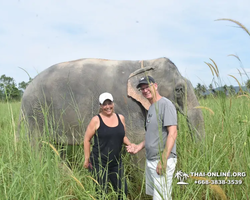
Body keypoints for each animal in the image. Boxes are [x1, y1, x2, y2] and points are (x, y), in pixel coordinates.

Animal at [20, 57, 205, 148]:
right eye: (179, 90)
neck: (143, 63)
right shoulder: (128, 105)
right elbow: (137, 139)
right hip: (34, 114)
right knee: (38, 147)